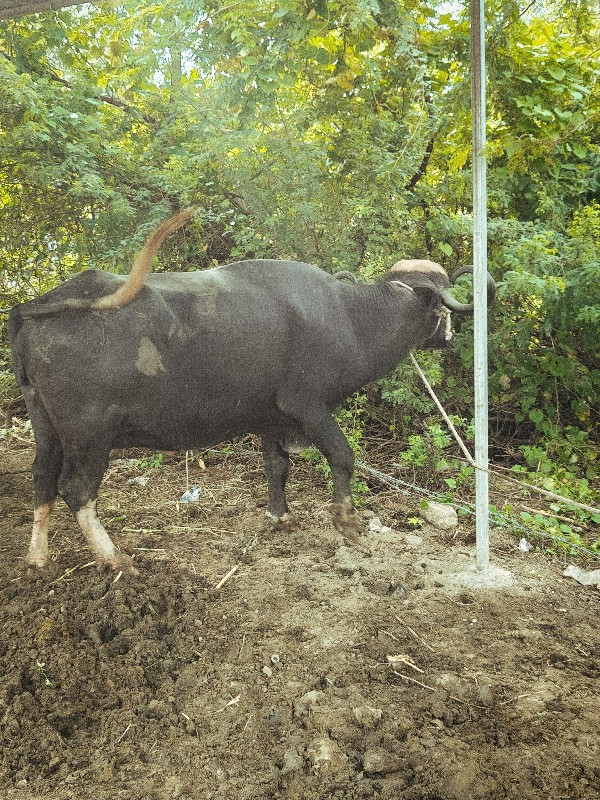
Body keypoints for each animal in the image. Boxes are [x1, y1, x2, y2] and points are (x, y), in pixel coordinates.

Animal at [9, 209, 494, 572]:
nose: (446, 337)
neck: (349, 319)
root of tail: (36, 305)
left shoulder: (271, 418)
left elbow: (276, 467)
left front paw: (279, 516)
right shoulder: (308, 406)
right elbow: (341, 455)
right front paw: (347, 520)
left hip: (45, 427)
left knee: (42, 479)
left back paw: (38, 558)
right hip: (91, 437)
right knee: (76, 490)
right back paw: (116, 560)